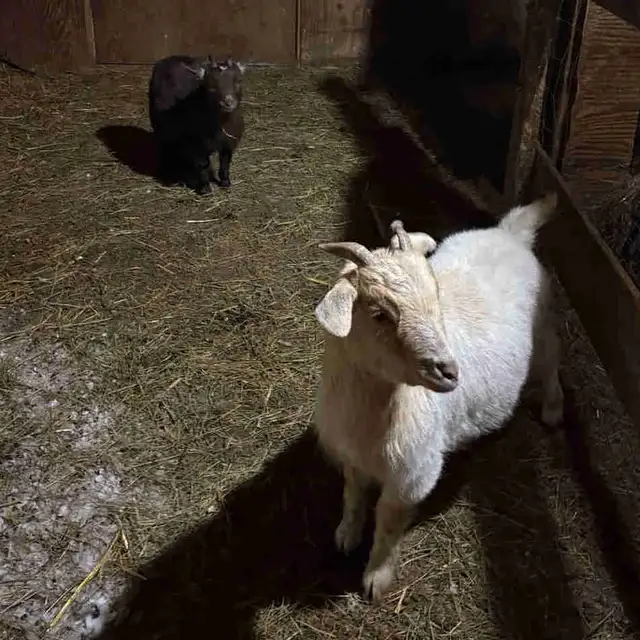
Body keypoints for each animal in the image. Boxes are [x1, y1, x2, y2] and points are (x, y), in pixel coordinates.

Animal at [148, 54, 245, 195]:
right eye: (211, 86)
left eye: (238, 81)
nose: (228, 102)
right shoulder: (195, 145)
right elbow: (203, 164)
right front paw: (205, 188)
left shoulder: (229, 141)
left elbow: (225, 161)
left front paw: (225, 182)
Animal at [313, 194, 563, 601]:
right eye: (379, 314)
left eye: (435, 296)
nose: (449, 371)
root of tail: (510, 233)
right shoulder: (351, 455)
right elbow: (353, 493)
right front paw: (346, 534)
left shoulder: (413, 474)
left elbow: (388, 520)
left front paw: (377, 577)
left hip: (541, 329)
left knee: (553, 357)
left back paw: (554, 409)